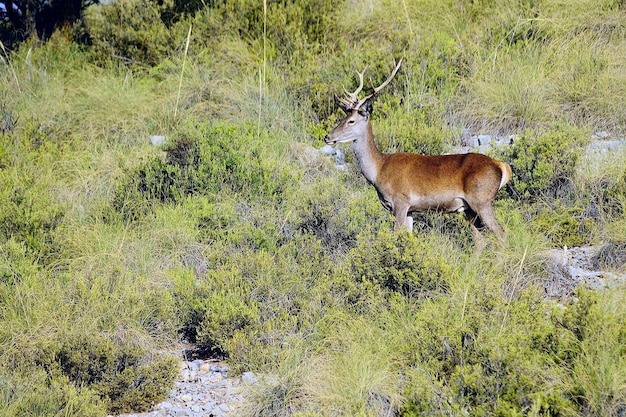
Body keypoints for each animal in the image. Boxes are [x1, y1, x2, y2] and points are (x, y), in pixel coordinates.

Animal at [324, 60, 510, 239]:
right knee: (480, 239)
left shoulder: (400, 201)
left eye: (351, 121)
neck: (378, 171)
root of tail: (501, 166)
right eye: (342, 117)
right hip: (469, 209)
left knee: (501, 233)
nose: (327, 137)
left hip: (481, 200)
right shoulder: (411, 209)